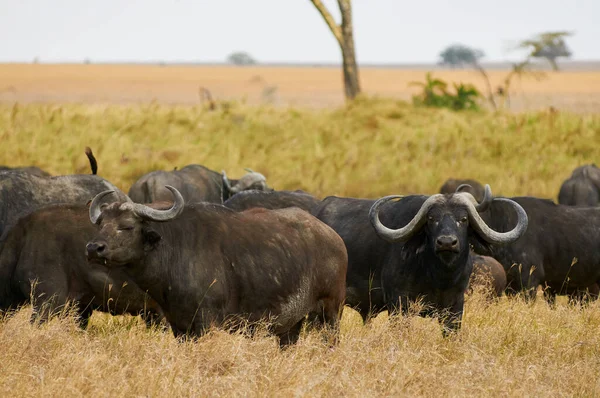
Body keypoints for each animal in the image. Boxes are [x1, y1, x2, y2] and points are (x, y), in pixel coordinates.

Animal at [84, 187, 346, 346]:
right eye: (101, 223)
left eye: (127, 226)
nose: (93, 248)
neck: (176, 250)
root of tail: (334, 239)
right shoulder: (179, 326)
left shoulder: (207, 322)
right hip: (291, 325)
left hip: (331, 311)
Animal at [312, 187, 528, 332]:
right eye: (432, 219)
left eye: (463, 219)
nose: (447, 242)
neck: (438, 276)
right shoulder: (399, 304)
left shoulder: (455, 307)